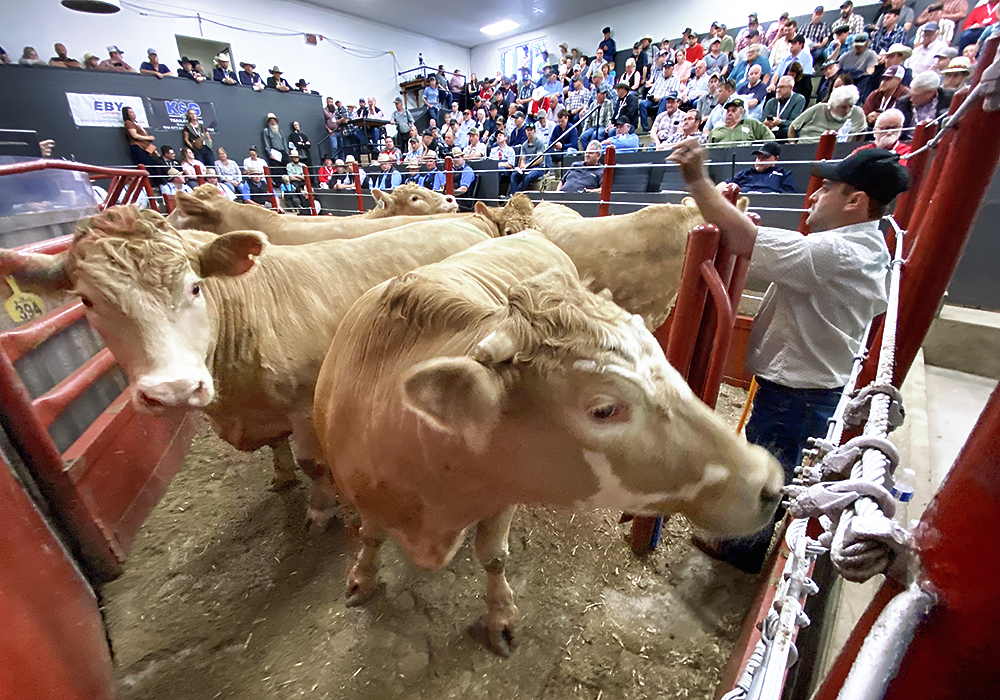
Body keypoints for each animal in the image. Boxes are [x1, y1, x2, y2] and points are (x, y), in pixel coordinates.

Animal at [2, 206, 493, 528]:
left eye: (195, 287)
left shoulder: (304, 402)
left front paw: (320, 509)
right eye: (87, 301)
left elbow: (312, 462)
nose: (174, 389)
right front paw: (280, 476)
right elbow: (277, 448)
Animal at [313, 232, 784, 656]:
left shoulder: (500, 494)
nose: (769, 483)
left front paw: (500, 616)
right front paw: (362, 578)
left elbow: (494, 556)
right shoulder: (361, 494)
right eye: (604, 409)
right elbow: (370, 535)